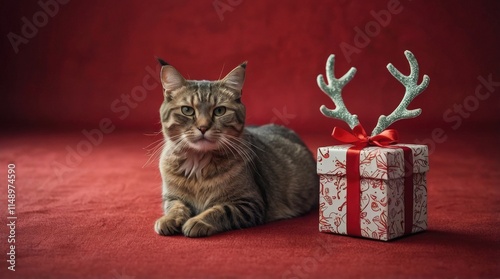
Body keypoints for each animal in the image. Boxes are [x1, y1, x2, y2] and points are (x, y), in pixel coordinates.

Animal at [153, 59, 316, 238]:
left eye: (219, 111)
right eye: (187, 110)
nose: (203, 127)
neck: (198, 167)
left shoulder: (249, 203)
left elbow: (220, 210)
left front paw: (198, 221)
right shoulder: (171, 197)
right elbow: (176, 207)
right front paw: (169, 219)